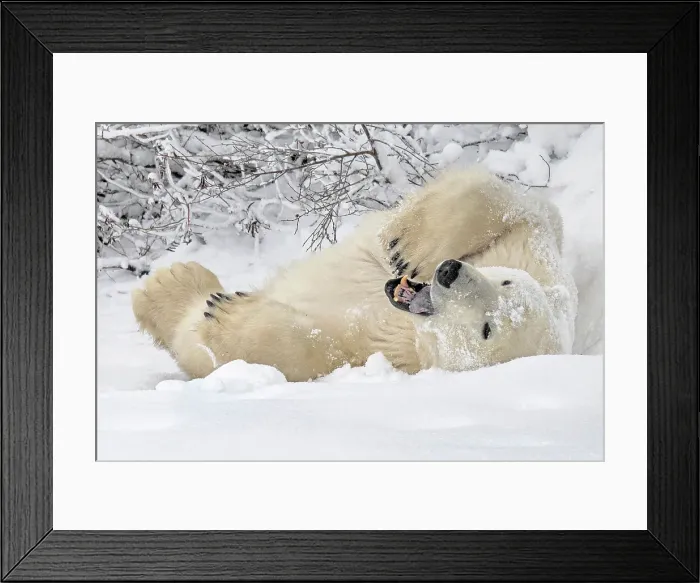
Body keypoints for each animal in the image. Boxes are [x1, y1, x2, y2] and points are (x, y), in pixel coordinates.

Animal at [132, 167, 577, 382]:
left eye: (487, 330)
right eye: (505, 281)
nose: (449, 273)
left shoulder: (385, 351)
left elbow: (316, 350)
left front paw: (224, 315)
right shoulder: (537, 255)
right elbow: (517, 201)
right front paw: (408, 248)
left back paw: (172, 284)